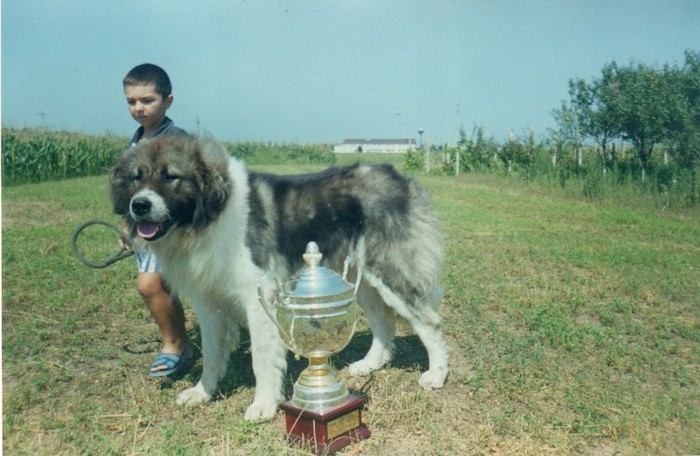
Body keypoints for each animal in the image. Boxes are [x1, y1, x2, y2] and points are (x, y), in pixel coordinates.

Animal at [109, 136, 448, 420]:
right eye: (137, 177)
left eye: (171, 177)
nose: (140, 205)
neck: (212, 215)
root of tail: (399, 179)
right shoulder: (209, 303)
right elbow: (212, 353)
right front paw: (202, 392)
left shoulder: (259, 297)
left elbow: (261, 359)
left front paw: (263, 405)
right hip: (358, 279)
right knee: (383, 321)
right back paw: (371, 364)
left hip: (388, 270)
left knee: (428, 322)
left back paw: (437, 374)